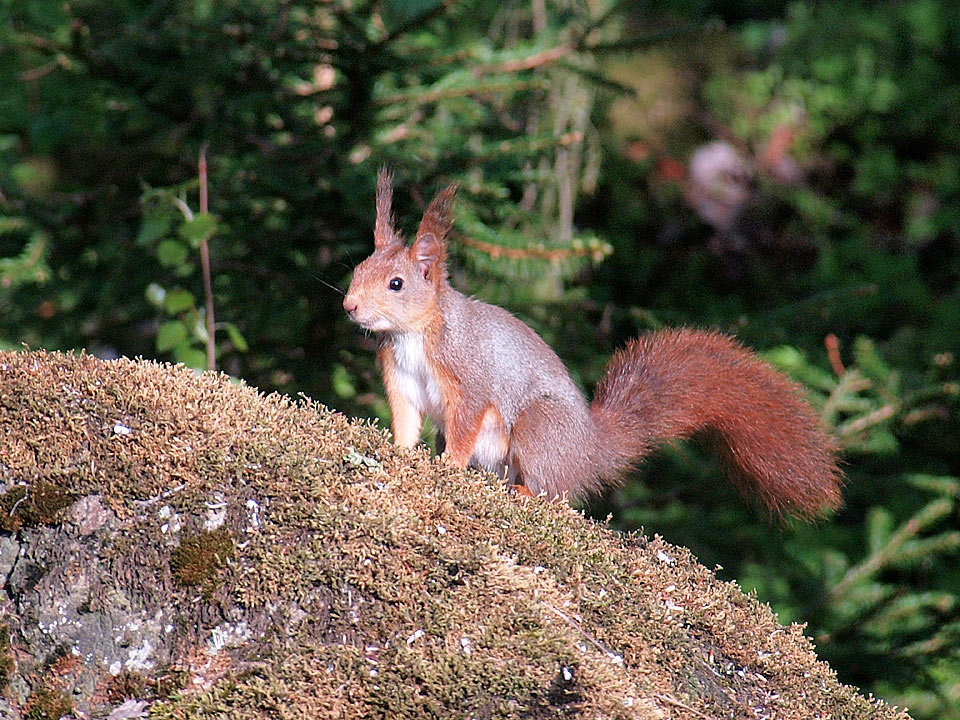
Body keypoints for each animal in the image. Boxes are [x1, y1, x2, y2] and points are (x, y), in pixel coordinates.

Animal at [344, 170, 840, 516]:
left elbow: (466, 425)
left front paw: (447, 467)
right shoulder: (401, 378)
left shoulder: (468, 376)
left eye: (396, 284)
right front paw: (401, 452)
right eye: (358, 269)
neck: (412, 334)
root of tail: (589, 450)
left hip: (539, 429)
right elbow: (405, 421)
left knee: (554, 491)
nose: (349, 306)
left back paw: (524, 490)